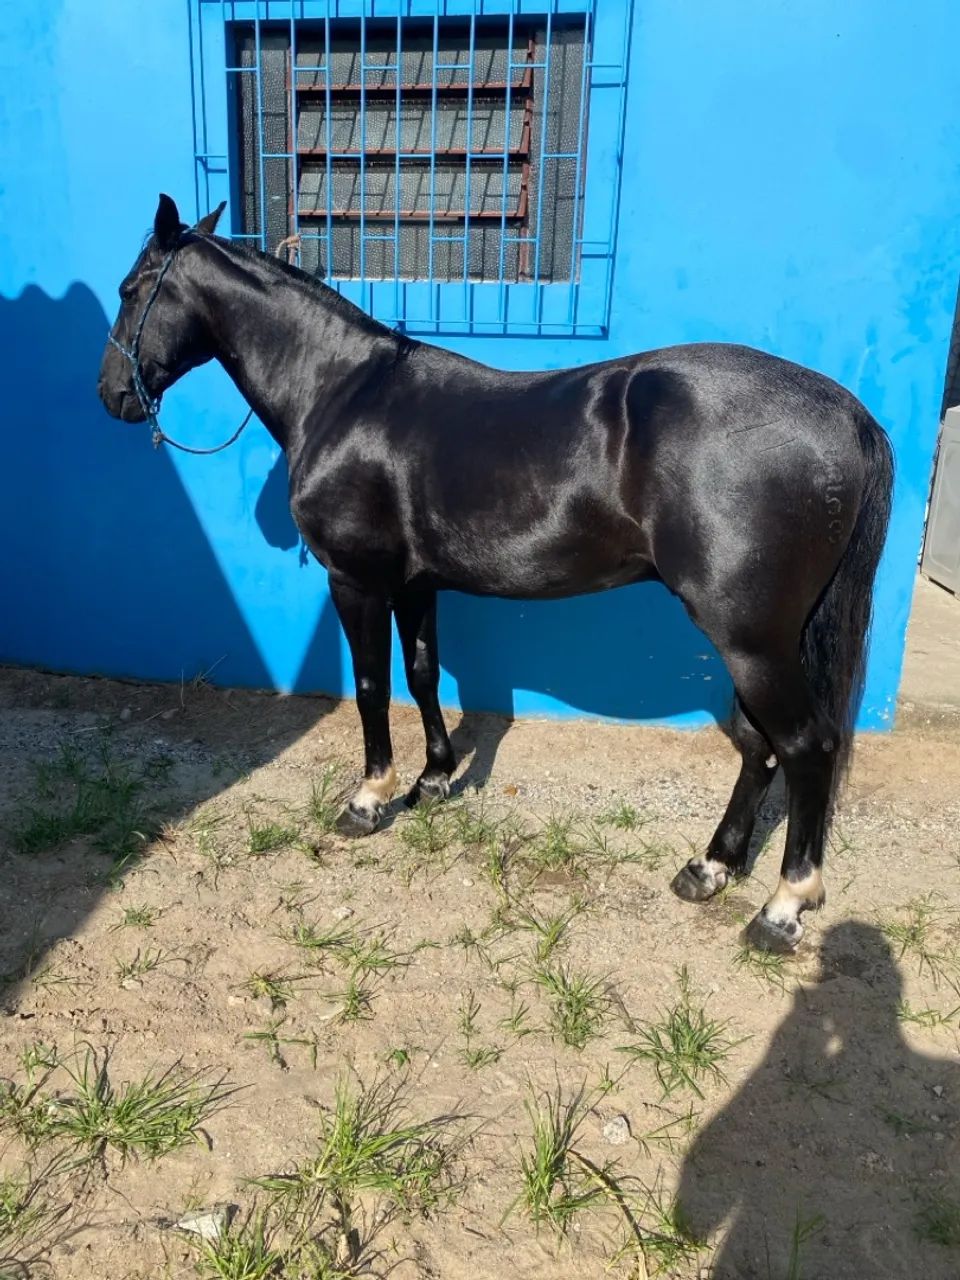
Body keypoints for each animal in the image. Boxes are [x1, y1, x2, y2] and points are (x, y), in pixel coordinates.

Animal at [98, 194, 893, 954]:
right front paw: (433, 778)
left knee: (805, 746)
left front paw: (369, 799)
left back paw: (783, 907)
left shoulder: (356, 581)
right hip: (765, 638)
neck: (341, 393)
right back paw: (710, 867)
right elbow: (422, 674)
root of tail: (845, 413)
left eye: (132, 289)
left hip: (750, 638)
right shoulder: (416, 584)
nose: (112, 395)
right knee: (760, 746)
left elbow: (370, 686)